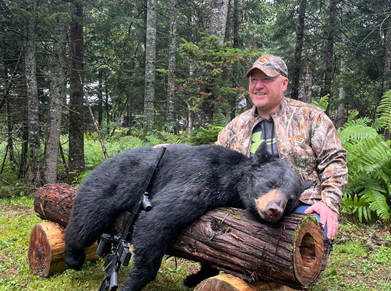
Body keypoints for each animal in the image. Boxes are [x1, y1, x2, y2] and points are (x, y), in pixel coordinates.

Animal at [64, 144, 312, 291]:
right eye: (272, 183)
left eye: (290, 199)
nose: (274, 210)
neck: (232, 180)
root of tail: (106, 160)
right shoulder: (202, 179)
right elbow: (157, 220)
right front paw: (131, 284)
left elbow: (211, 254)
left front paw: (193, 278)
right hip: (111, 182)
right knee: (86, 221)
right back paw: (73, 257)